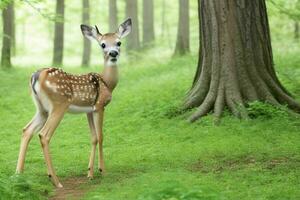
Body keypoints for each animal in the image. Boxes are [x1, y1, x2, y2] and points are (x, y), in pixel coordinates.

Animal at [14, 18, 131, 187]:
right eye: (102, 44)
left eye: (119, 42)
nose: (113, 53)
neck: (107, 82)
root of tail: (35, 77)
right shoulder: (100, 106)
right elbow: (101, 136)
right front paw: (102, 170)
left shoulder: (89, 110)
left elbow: (93, 137)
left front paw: (90, 173)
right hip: (58, 105)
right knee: (44, 135)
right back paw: (55, 180)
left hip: (41, 109)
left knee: (27, 130)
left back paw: (18, 175)